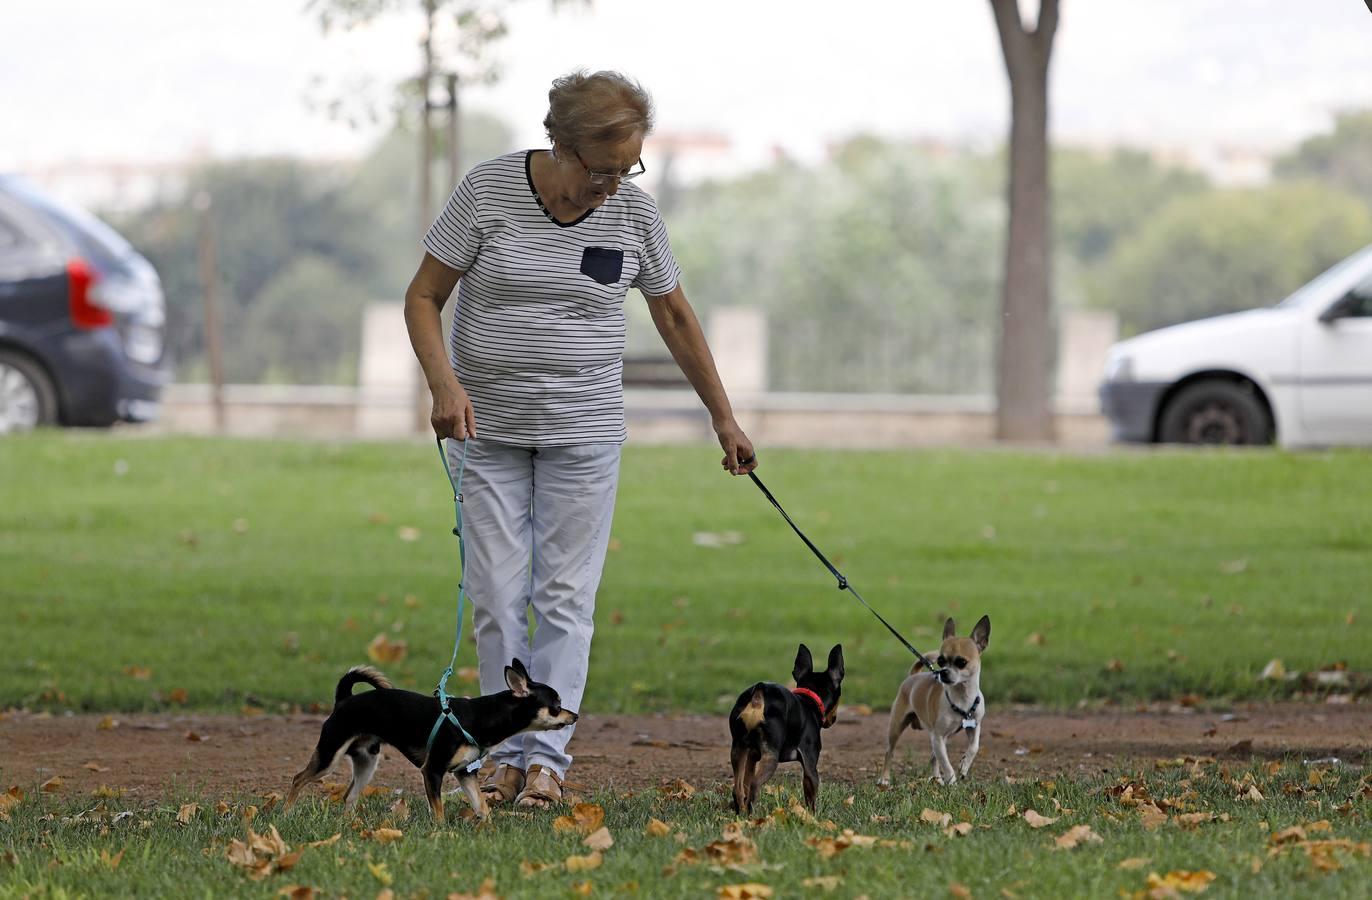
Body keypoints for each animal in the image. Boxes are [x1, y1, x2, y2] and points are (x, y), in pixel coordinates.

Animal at [284, 658, 573, 817]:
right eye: (556, 705)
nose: (575, 715)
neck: (481, 716)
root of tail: (344, 699)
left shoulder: (465, 773)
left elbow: (481, 806)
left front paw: (487, 829)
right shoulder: (432, 770)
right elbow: (439, 811)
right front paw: (442, 834)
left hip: (367, 761)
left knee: (349, 795)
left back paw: (348, 824)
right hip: (329, 755)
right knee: (298, 778)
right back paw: (286, 812)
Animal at [724, 642, 839, 812]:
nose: (833, 719)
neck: (810, 700)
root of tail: (759, 693)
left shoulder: (752, 756)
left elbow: (744, 783)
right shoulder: (810, 765)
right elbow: (811, 799)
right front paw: (812, 816)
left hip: (738, 749)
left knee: (738, 790)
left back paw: (742, 814)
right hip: (771, 757)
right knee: (754, 786)